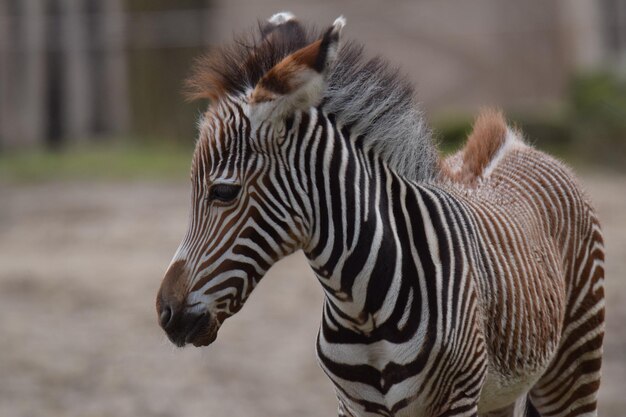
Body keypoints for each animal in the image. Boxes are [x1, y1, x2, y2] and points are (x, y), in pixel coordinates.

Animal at [154, 13, 604, 416]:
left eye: (223, 192)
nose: (165, 313)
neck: (362, 307)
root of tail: (515, 144)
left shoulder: (457, 400)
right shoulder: (354, 406)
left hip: (574, 367)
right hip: (502, 394)